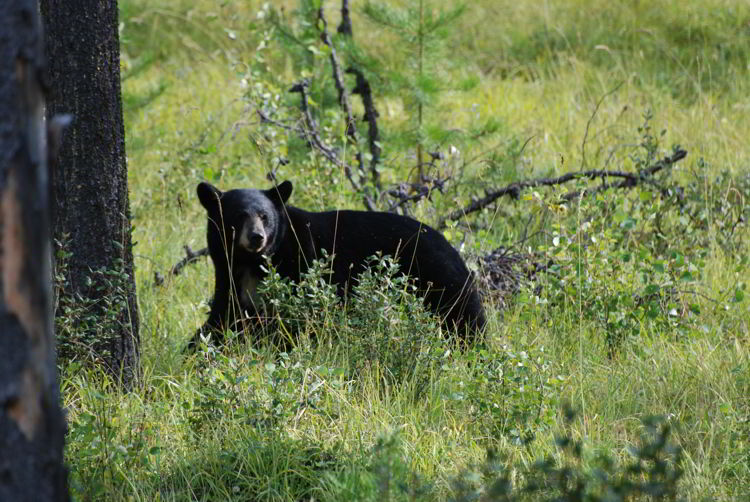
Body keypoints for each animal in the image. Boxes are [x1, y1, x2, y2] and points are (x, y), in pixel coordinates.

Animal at [189, 180, 488, 350]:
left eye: (264, 216)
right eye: (239, 216)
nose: (256, 237)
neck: (252, 262)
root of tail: (451, 245)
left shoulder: (299, 263)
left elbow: (295, 319)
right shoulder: (229, 275)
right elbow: (222, 317)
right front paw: (194, 351)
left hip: (437, 275)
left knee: (461, 316)